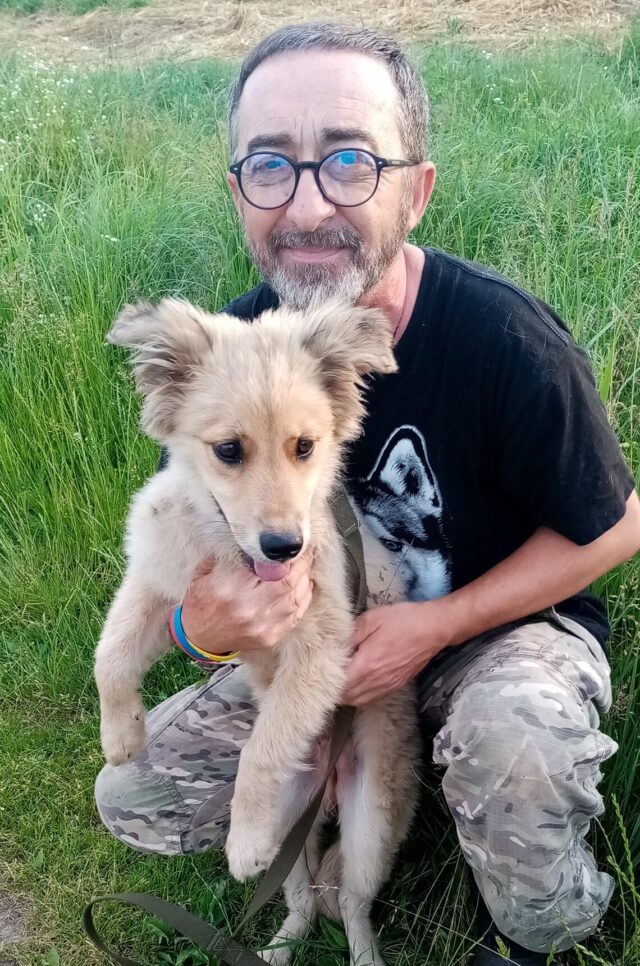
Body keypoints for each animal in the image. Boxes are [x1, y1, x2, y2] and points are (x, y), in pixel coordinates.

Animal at [94, 300, 420, 966]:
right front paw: (122, 735)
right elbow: (109, 655)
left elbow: (263, 750)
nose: (285, 546)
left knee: (350, 905)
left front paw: (242, 840)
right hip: (293, 836)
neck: (227, 550)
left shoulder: (320, 651)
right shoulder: (160, 581)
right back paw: (276, 947)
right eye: (228, 449)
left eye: (305, 447)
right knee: (301, 900)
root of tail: (325, 792)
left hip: (371, 825)